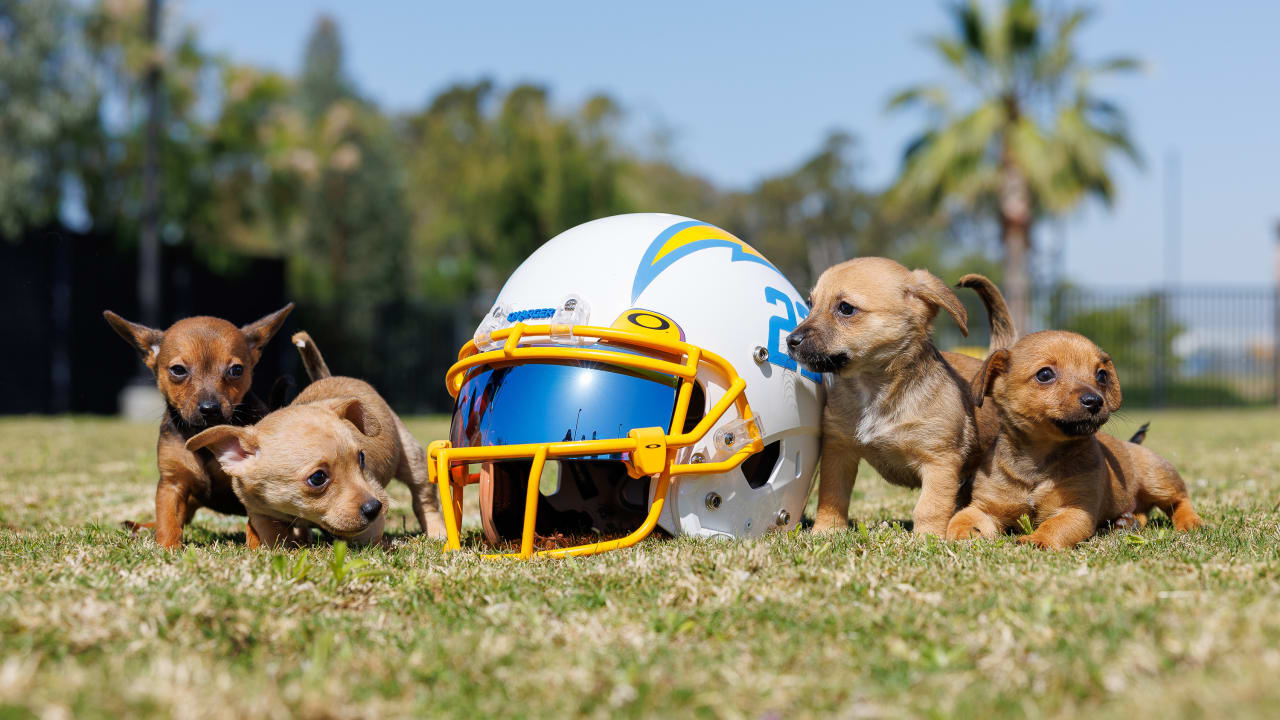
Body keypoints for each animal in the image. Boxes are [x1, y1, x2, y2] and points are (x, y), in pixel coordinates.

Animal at [103, 301, 293, 543]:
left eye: (236, 370)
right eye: (178, 370)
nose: (210, 409)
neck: (203, 436)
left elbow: (257, 524)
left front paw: (256, 547)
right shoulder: (172, 484)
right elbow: (168, 521)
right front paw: (167, 546)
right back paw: (143, 527)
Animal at [186, 330, 448, 543]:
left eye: (361, 459)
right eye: (318, 478)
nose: (374, 506)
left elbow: (367, 533)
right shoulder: (261, 513)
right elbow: (275, 539)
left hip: (412, 457)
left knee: (424, 498)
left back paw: (436, 532)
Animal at [783, 257, 1013, 532]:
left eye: (846, 309)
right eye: (810, 304)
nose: (790, 340)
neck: (874, 390)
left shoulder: (939, 462)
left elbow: (930, 507)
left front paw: (928, 537)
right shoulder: (838, 451)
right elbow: (832, 496)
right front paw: (826, 531)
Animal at [947, 327, 1203, 545]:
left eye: (1101, 376)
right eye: (1045, 374)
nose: (1095, 401)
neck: (1037, 461)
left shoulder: (1076, 510)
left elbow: (1054, 526)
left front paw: (1038, 540)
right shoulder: (985, 507)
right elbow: (962, 518)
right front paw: (962, 533)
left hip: (1157, 478)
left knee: (1180, 500)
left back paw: (1190, 522)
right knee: (1141, 511)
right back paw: (1126, 522)